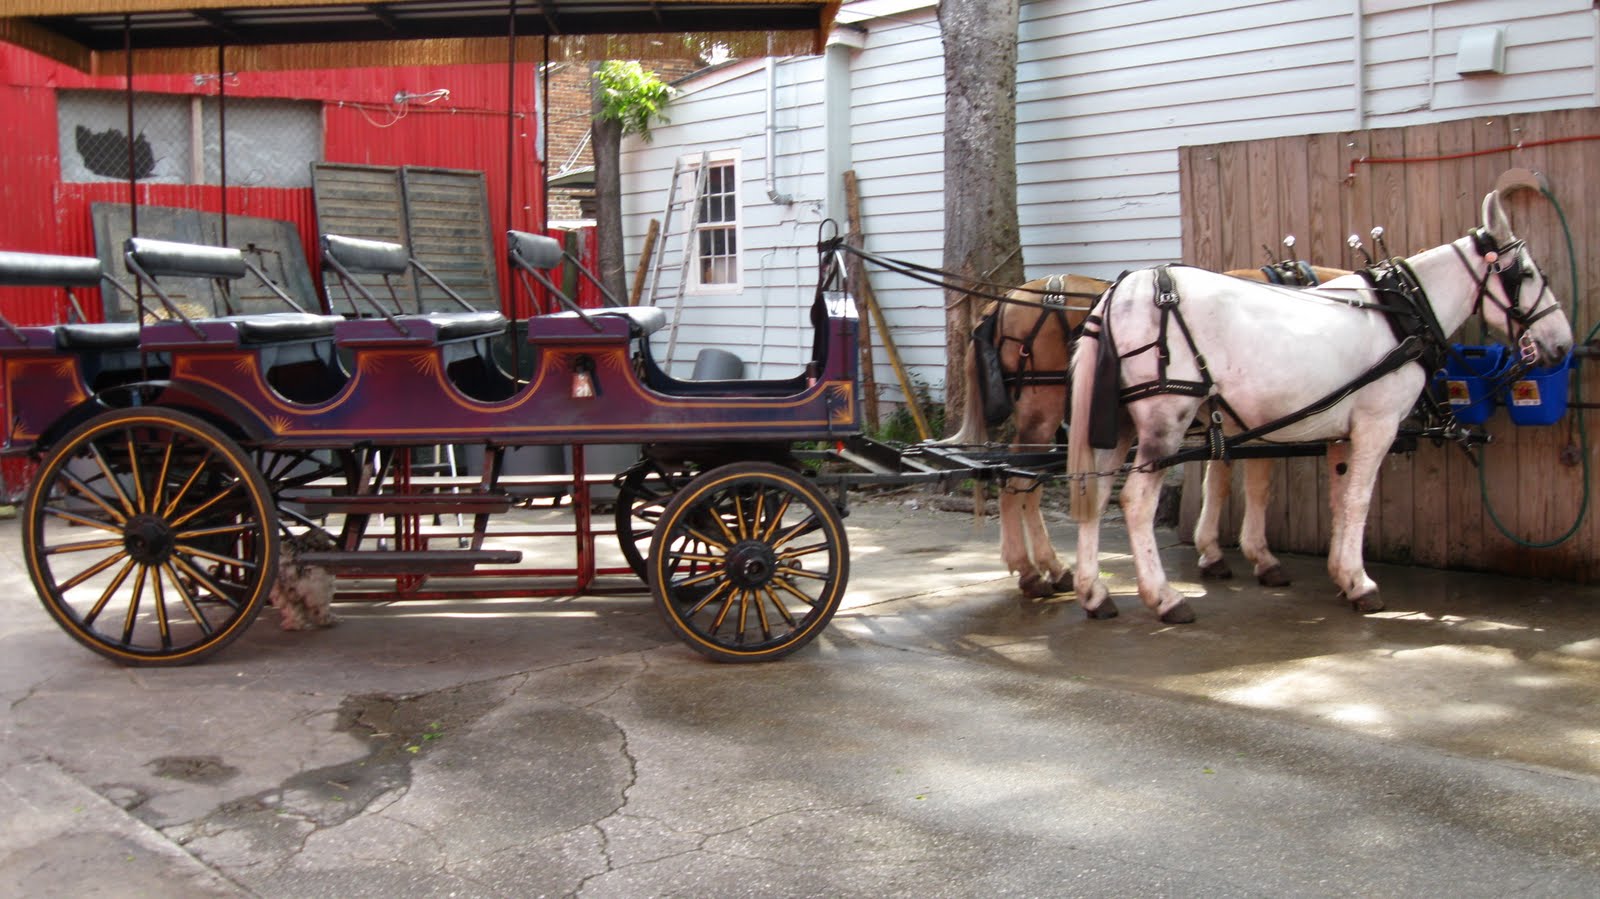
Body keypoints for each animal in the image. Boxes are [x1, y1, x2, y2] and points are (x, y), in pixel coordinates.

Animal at [942, 261, 1347, 599]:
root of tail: (1001, 305)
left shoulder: (1227, 424)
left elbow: (1217, 482)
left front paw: (1211, 552)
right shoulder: (1259, 420)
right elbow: (1258, 487)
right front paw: (1262, 558)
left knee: (1020, 483)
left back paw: (1047, 569)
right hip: (1042, 415)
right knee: (1018, 484)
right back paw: (1034, 570)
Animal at [1065, 192, 1573, 623]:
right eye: (1528, 274)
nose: (1561, 343)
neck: (1400, 314)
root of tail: (1122, 291)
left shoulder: (1339, 434)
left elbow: (1340, 499)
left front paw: (1342, 575)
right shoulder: (1376, 425)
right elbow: (1359, 499)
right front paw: (1361, 583)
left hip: (1118, 427)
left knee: (1096, 491)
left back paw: (1094, 592)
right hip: (1164, 422)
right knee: (1135, 501)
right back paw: (1164, 598)